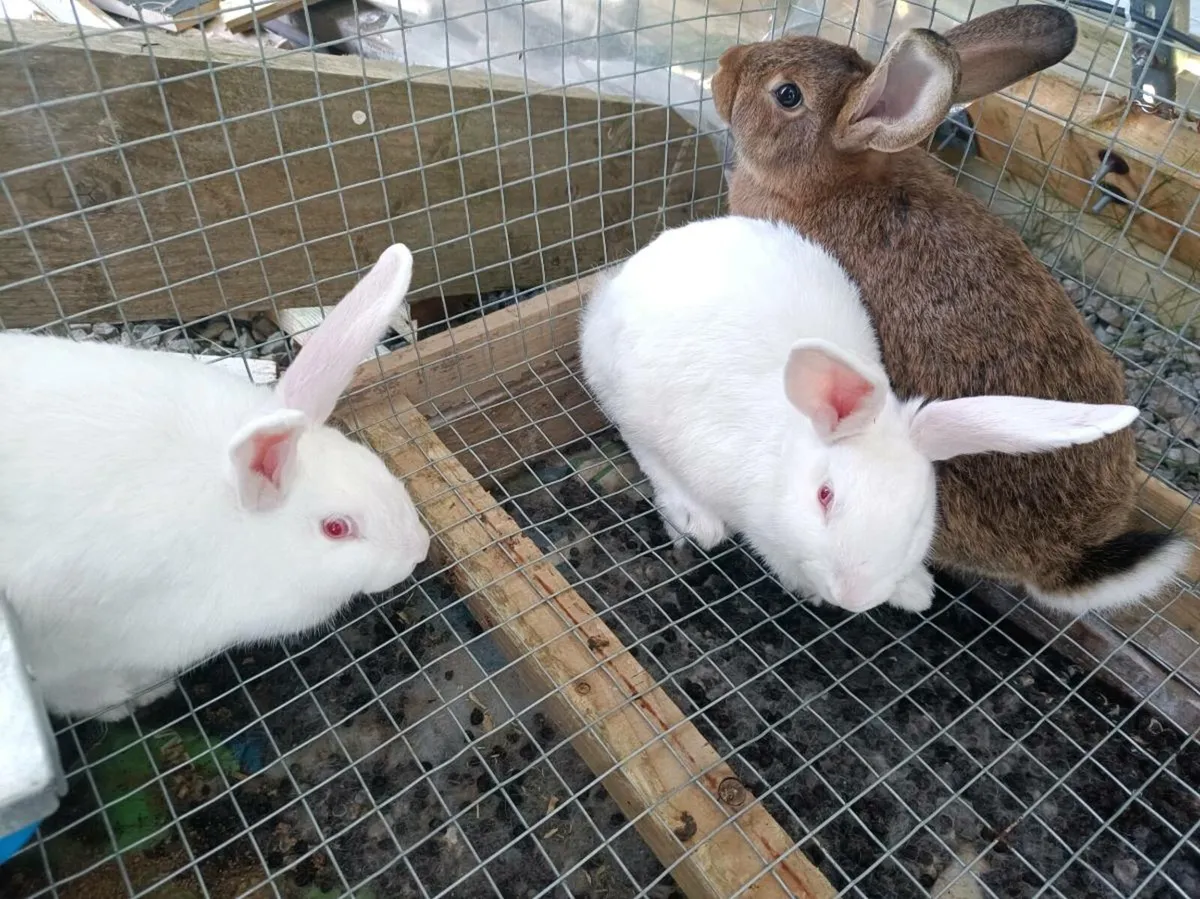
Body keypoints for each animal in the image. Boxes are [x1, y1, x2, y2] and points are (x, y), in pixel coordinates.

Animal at [0, 244, 432, 721]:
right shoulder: (75, 652)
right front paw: (140, 696)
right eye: (336, 528)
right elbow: (80, 690)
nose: (419, 550)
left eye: (373, 461)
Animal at [579, 215, 1139, 615]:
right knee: (643, 446)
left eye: (918, 516)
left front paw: (914, 591)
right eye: (825, 496)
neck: (787, 456)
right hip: (626, 391)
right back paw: (697, 519)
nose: (853, 597)